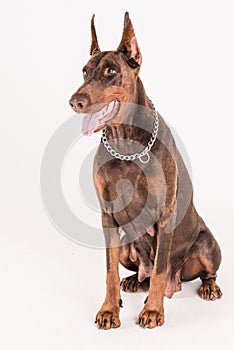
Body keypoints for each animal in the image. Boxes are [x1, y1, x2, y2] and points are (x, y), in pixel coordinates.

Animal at [68, 13, 222, 330]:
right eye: (85, 71)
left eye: (111, 71)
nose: (75, 101)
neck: (125, 144)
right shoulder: (107, 217)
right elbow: (109, 272)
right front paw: (109, 309)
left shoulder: (165, 214)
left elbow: (161, 268)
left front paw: (152, 310)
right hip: (128, 247)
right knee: (142, 274)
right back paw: (132, 282)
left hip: (207, 245)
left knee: (193, 272)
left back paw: (208, 287)